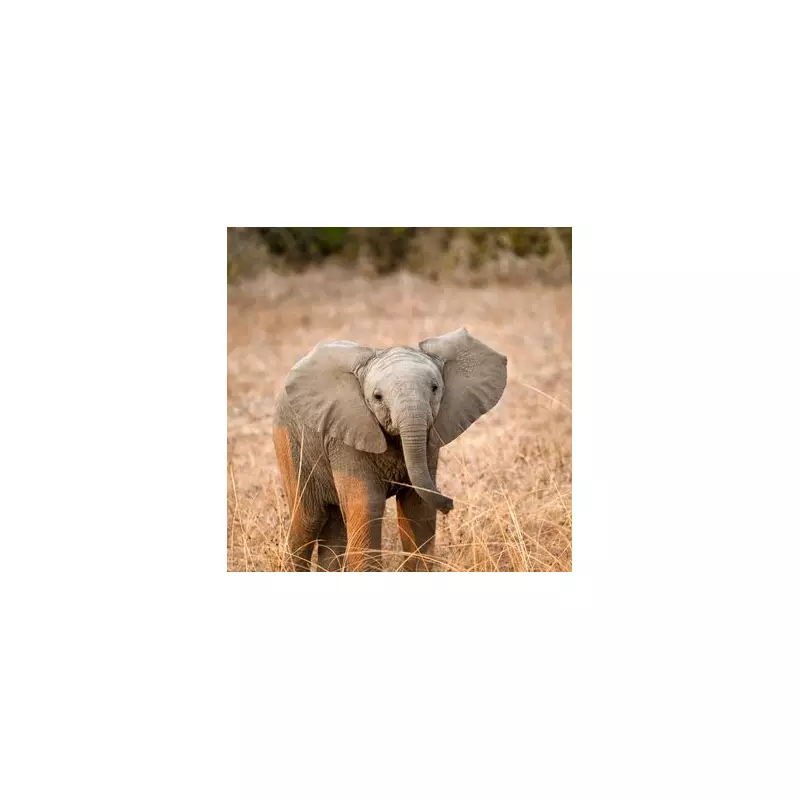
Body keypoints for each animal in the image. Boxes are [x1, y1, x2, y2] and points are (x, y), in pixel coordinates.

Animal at [272, 327, 507, 571]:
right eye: (377, 397)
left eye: (435, 388)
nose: (450, 504)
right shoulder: (346, 436)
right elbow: (367, 505)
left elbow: (417, 506)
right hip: (288, 443)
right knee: (308, 520)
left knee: (335, 526)